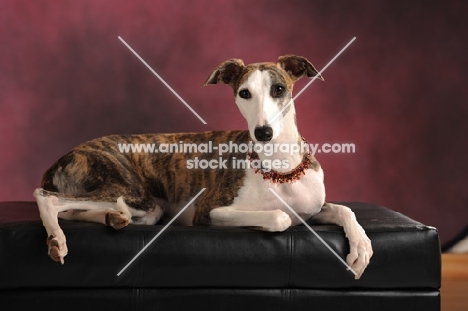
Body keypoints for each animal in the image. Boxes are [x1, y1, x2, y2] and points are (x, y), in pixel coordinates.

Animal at [33, 55, 372, 280]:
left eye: (279, 89)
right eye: (244, 93)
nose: (263, 133)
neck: (278, 168)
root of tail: (63, 157)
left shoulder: (312, 209)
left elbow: (344, 208)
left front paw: (361, 246)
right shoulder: (210, 210)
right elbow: (280, 217)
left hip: (145, 207)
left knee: (81, 210)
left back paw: (113, 218)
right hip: (130, 190)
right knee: (47, 197)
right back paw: (57, 239)